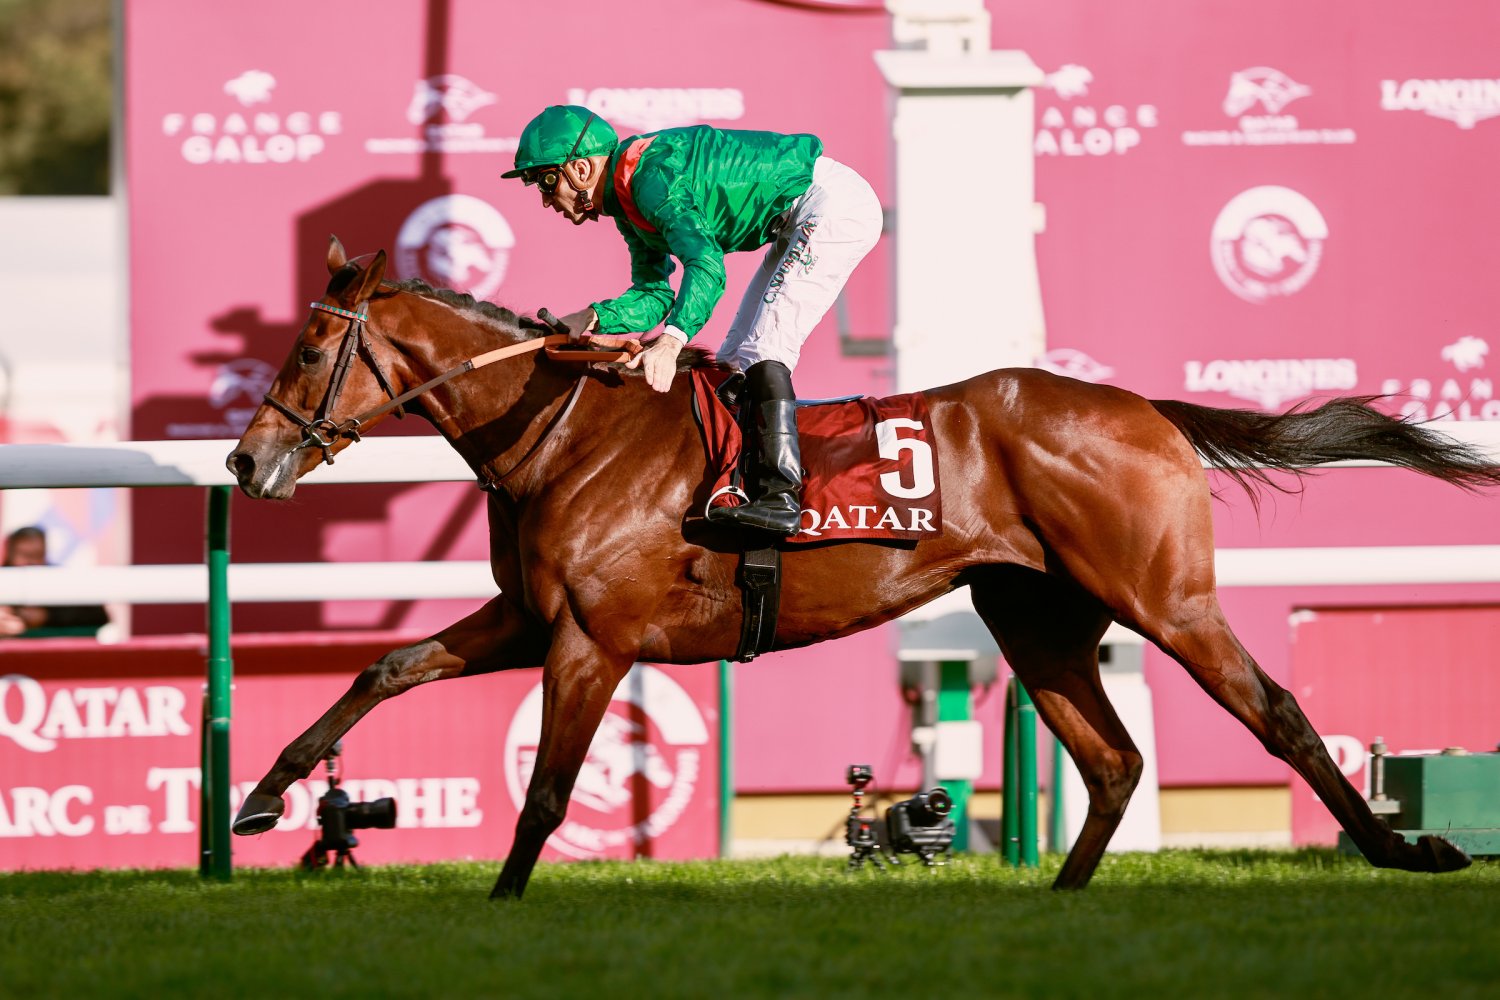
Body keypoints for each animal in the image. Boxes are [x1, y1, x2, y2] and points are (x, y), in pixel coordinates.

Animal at [227, 237, 1499, 898]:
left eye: (311, 344)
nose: (244, 459)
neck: (570, 431)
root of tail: (1145, 407)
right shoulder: (531, 619)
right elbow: (386, 668)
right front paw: (262, 795)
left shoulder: (593, 640)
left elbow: (545, 785)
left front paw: (501, 902)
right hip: (1037, 620)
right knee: (1113, 759)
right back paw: (1061, 899)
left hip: (1167, 599)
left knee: (1274, 712)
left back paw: (1406, 847)